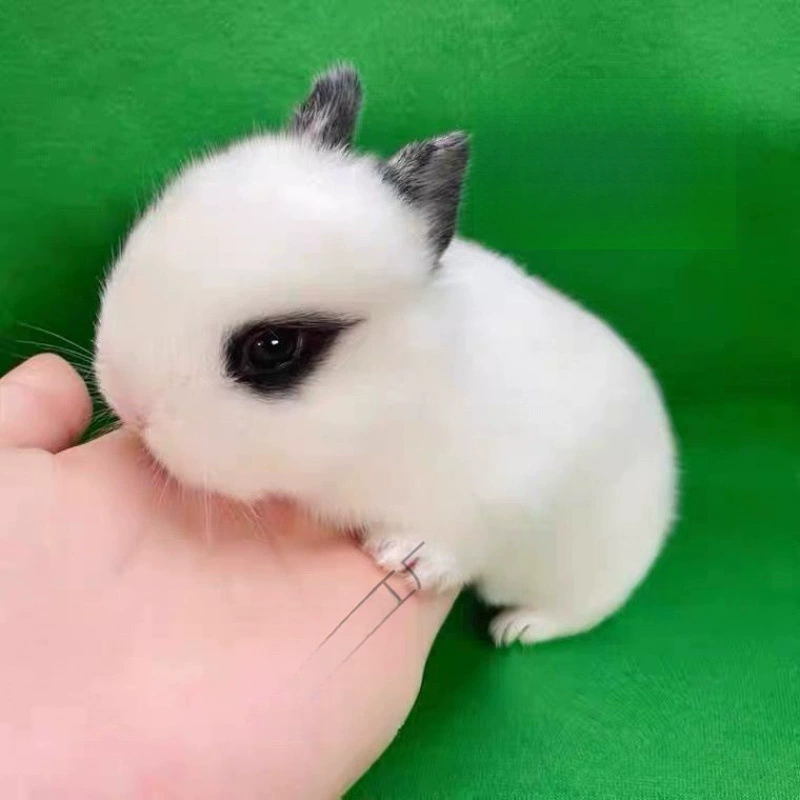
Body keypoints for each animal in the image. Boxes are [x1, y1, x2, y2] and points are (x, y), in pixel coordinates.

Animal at [94, 65, 677, 647]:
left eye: (272, 348)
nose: (131, 407)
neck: (396, 404)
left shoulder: (505, 495)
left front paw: (406, 556)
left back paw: (517, 627)